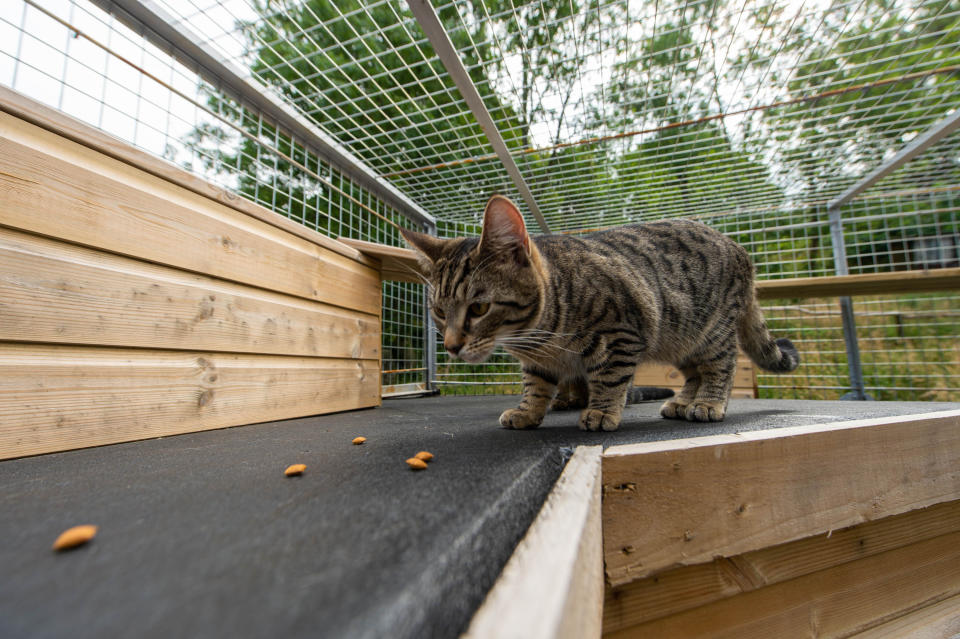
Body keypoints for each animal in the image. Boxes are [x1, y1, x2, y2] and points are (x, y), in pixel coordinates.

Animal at [402, 195, 800, 432]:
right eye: (438, 312)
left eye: (479, 308)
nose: (451, 346)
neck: (538, 338)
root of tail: (741, 249)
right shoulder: (538, 362)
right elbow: (536, 385)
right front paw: (528, 411)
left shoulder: (621, 335)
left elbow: (609, 380)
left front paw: (601, 411)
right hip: (682, 338)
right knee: (693, 374)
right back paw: (682, 401)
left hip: (711, 331)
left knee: (721, 367)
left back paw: (707, 403)